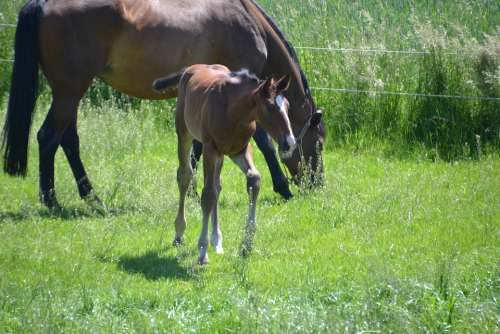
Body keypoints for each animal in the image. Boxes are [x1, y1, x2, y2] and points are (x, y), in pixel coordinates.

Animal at [154, 64, 294, 264]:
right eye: (269, 107)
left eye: (288, 106)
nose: (290, 143)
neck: (234, 112)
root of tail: (191, 68)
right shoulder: (209, 148)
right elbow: (207, 194)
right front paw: (202, 252)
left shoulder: (239, 150)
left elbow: (254, 179)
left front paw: (246, 243)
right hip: (185, 134)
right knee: (185, 176)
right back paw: (179, 233)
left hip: (221, 156)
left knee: (217, 185)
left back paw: (217, 240)